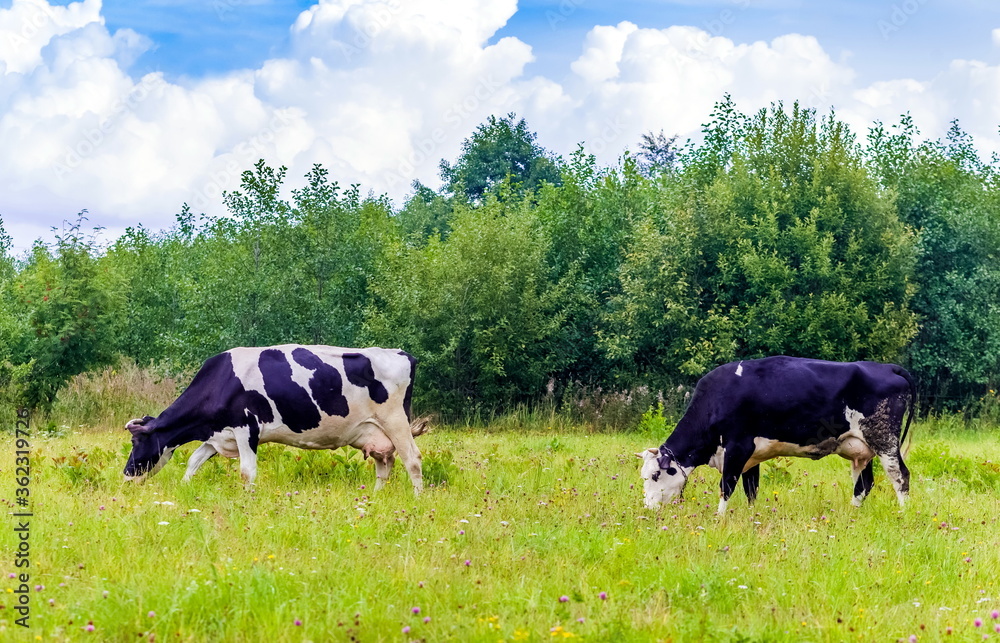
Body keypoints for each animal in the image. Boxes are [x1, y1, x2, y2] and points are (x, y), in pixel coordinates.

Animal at [123, 345, 428, 493]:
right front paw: (184, 490)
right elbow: (193, 461)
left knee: (412, 459)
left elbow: (247, 472)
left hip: (395, 421)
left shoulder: (247, 428)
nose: (126, 475)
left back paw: (417, 498)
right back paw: (374, 498)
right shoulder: (218, 435)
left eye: (135, 443)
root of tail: (401, 353)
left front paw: (247, 501)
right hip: (374, 432)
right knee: (384, 464)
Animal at [639, 356, 915, 512]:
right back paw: (852, 514)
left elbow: (727, 485)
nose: (648, 508)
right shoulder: (752, 456)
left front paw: (719, 518)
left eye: (655, 475)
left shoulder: (737, 447)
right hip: (861, 449)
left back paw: (903, 514)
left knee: (900, 476)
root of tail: (887, 367)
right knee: (863, 485)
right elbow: (751, 489)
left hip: (884, 440)